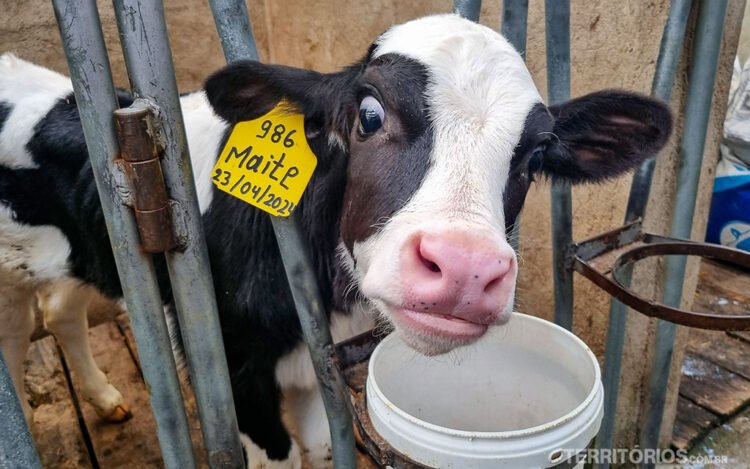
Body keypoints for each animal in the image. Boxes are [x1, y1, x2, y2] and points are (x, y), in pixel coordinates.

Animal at [0, 14, 672, 468]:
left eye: (534, 156)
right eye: (369, 114)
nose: (465, 269)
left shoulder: (310, 368)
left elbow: (322, 447)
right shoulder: (235, 367)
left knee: (60, 311)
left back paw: (104, 397)